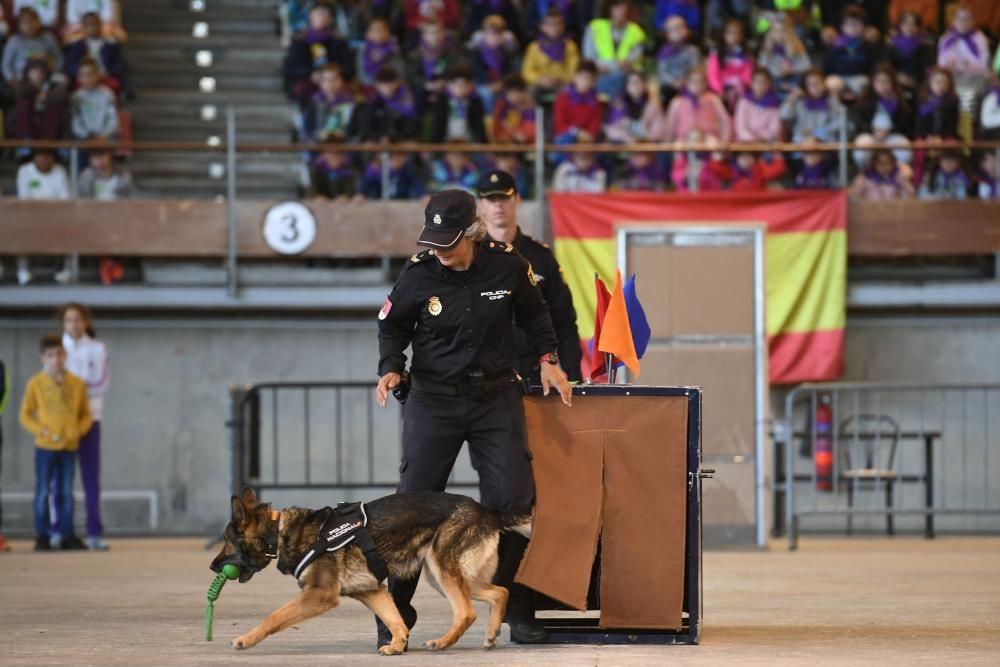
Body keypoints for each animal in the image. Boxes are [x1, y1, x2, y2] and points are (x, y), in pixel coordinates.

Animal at [209, 488, 532, 656]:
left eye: (226, 541)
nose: (212, 566)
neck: (278, 532)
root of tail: (484, 509)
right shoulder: (372, 591)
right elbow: (395, 619)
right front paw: (398, 645)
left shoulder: (319, 595)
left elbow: (274, 617)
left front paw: (246, 640)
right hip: (448, 576)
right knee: (500, 592)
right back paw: (490, 634)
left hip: (443, 573)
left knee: (466, 612)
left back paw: (442, 643)